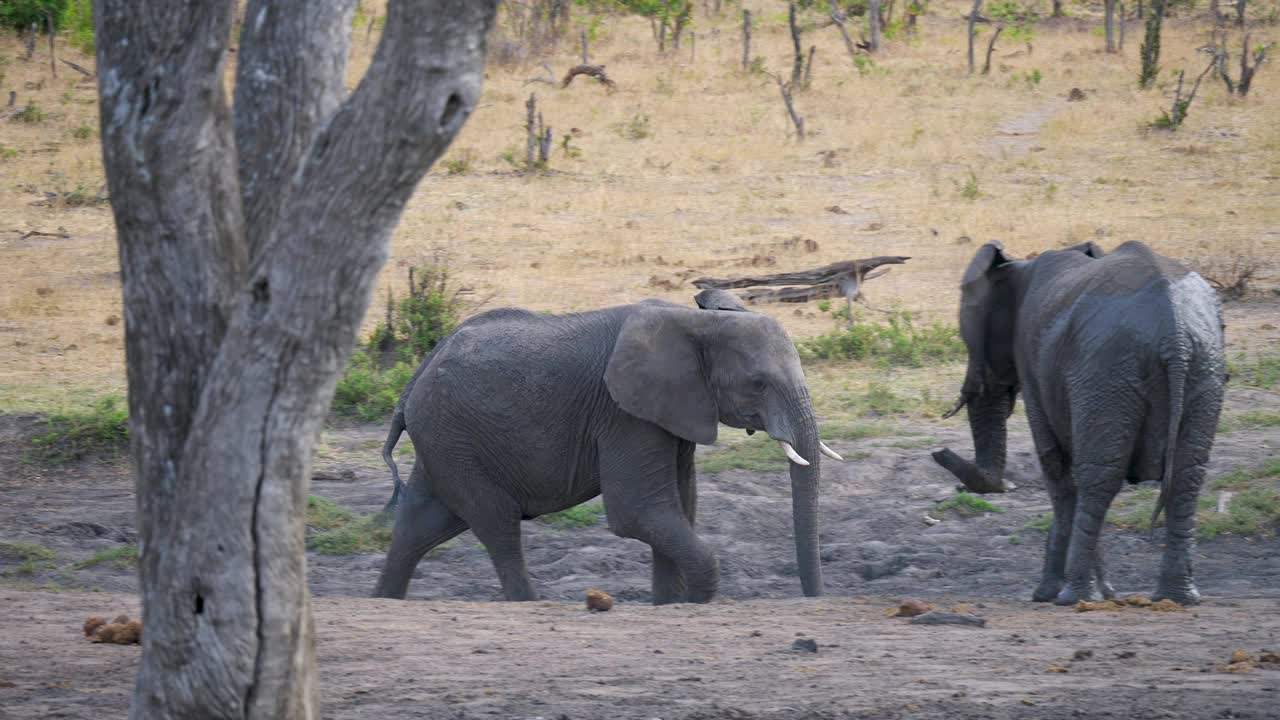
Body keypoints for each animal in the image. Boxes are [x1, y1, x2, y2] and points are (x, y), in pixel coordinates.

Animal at [373, 299, 839, 602]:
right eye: (758, 383)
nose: (812, 601)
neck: (699, 320)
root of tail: (413, 381)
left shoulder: (671, 412)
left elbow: (679, 508)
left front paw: (669, 605)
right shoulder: (623, 414)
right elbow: (639, 512)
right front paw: (692, 602)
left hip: (444, 441)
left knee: (419, 525)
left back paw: (384, 600)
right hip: (453, 436)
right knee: (498, 524)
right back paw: (529, 603)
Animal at [931, 240, 1228, 604]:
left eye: (967, 337)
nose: (939, 451)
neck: (1018, 267)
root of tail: (1175, 336)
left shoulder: (1033, 360)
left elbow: (1057, 467)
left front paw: (1048, 593)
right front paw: (1105, 592)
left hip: (1108, 369)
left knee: (1098, 479)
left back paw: (1075, 596)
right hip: (1205, 366)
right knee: (1188, 477)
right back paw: (1176, 597)